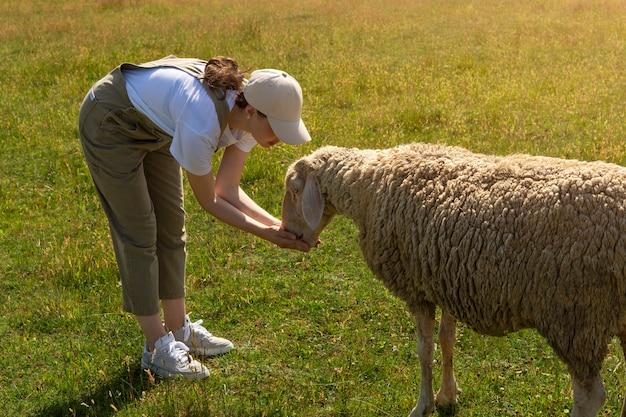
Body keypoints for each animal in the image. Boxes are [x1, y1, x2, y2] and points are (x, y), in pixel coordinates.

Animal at [280, 143, 624, 416]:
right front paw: (447, 395)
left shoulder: (417, 289)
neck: (367, 186)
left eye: (294, 190)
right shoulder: (444, 278)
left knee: (590, 396)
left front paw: (423, 405)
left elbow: (424, 349)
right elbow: (447, 340)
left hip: (576, 315)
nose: (289, 234)